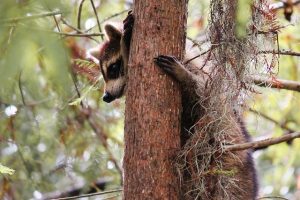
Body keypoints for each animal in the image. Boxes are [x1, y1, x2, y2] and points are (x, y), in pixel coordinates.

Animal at [91, 12, 258, 200]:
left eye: (113, 68)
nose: (106, 97)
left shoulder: (199, 75)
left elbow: (203, 96)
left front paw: (127, 45)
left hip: (229, 160)